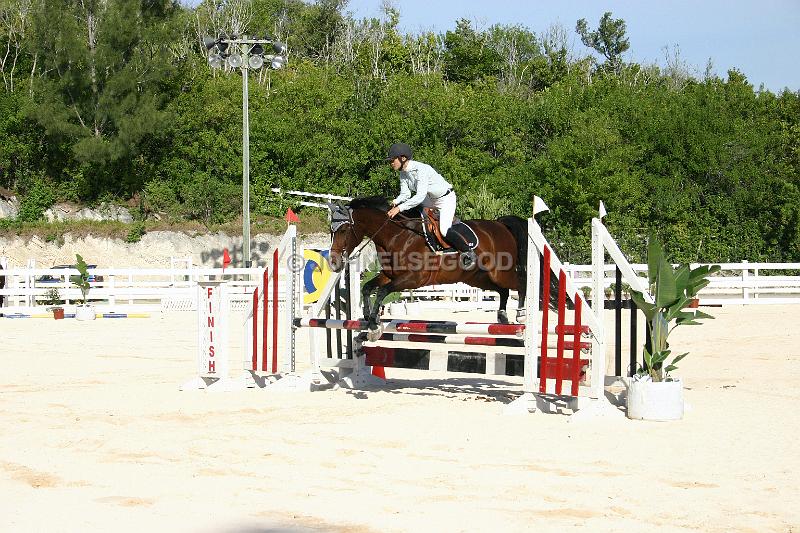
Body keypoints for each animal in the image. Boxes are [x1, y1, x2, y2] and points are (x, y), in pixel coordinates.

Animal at [328, 195, 528, 328]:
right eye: (331, 231)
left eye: (344, 230)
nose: (334, 263)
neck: (396, 235)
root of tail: (501, 224)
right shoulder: (388, 275)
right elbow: (367, 287)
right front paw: (368, 315)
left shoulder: (414, 278)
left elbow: (383, 291)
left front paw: (373, 321)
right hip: (478, 278)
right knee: (503, 291)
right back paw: (502, 316)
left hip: (500, 273)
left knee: (520, 285)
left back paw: (521, 315)